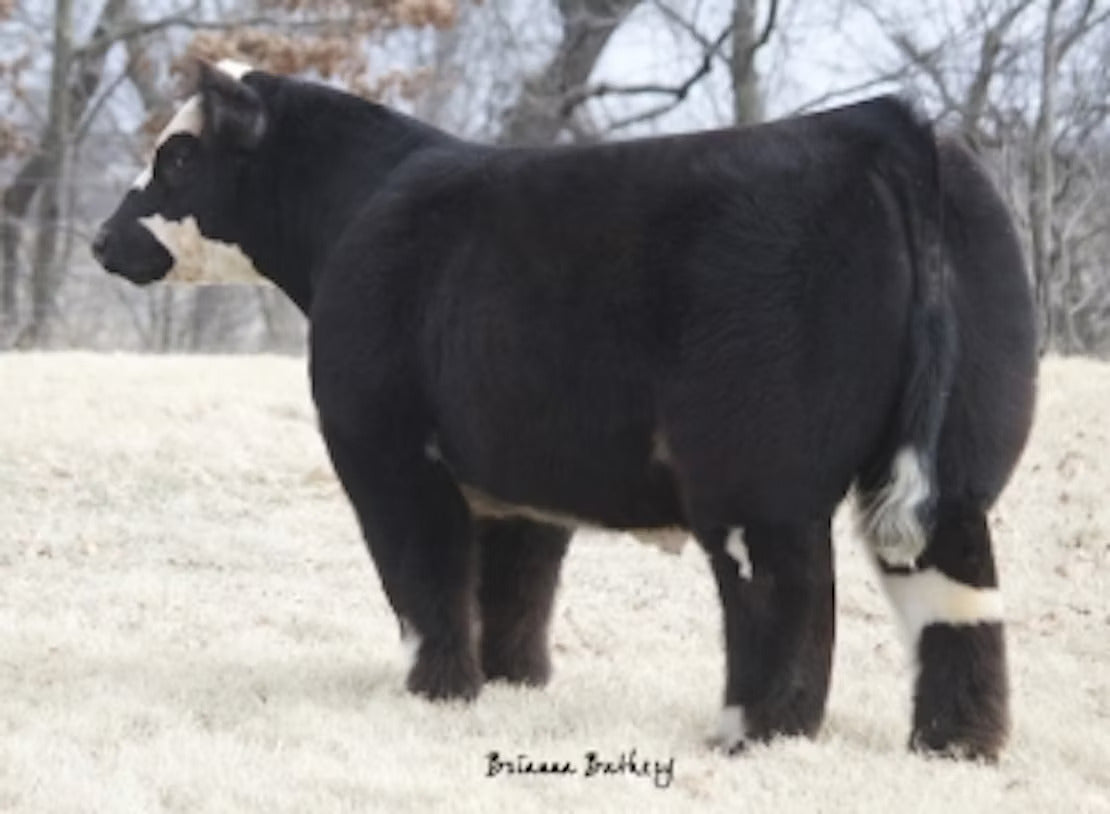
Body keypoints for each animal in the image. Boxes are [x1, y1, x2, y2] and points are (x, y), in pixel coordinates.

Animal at [93, 60, 1037, 761]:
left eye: (177, 157)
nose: (103, 239)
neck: (357, 208)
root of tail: (885, 127)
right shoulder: (518, 473)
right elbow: (514, 586)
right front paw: (514, 685)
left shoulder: (386, 451)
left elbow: (425, 581)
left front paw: (438, 692)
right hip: (958, 470)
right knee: (960, 604)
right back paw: (954, 748)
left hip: (756, 479)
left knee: (787, 599)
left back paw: (750, 736)